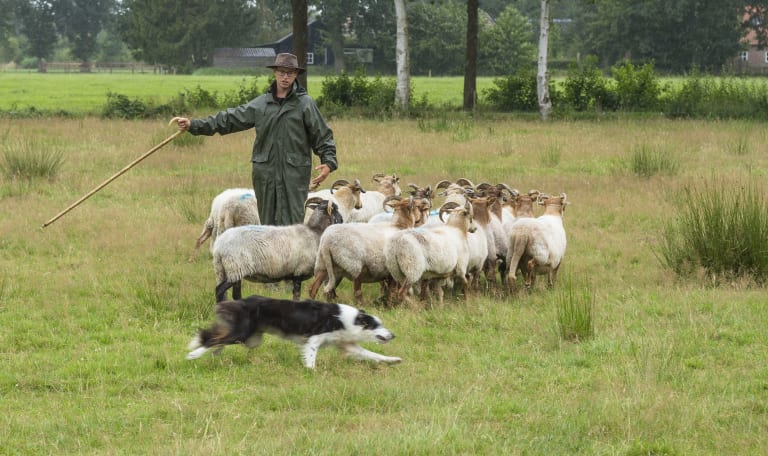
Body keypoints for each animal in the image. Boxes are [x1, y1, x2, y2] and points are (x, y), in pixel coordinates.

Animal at [188, 294, 402, 368]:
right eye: (377, 325)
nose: (393, 335)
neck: (350, 319)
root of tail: (241, 301)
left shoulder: (347, 345)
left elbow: (373, 355)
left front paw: (394, 360)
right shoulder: (314, 338)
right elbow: (311, 358)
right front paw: (311, 371)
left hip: (251, 339)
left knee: (218, 338)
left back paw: (215, 354)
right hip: (243, 333)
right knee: (211, 339)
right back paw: (193, 354)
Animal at [210, 199, 342, 302]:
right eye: (335, 209)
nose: (341, 220)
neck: (315, 232)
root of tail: (218, 248)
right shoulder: (299, 272)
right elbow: (296, 296)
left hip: (227, 270)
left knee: (235, 295)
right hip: (235, 268)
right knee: (219, 290)